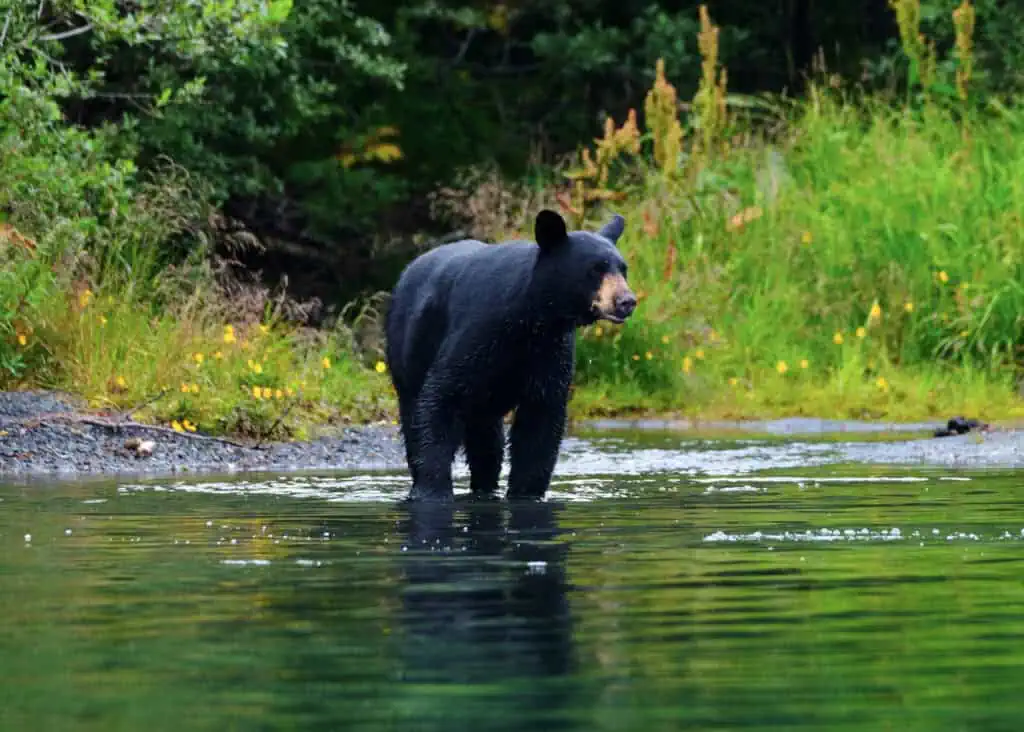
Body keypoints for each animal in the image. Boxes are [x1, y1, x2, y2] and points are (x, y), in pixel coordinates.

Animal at [384, 209, 637, 502]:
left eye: (623, 269)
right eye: (595, 269)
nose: (626, 301)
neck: (533, 318)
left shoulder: (550, 352)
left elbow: (540, 423)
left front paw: (526, 494)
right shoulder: (478, 332)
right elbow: (439, 398)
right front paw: (432, 492)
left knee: (487, 442)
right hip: (406, 352)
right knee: (413, 412)